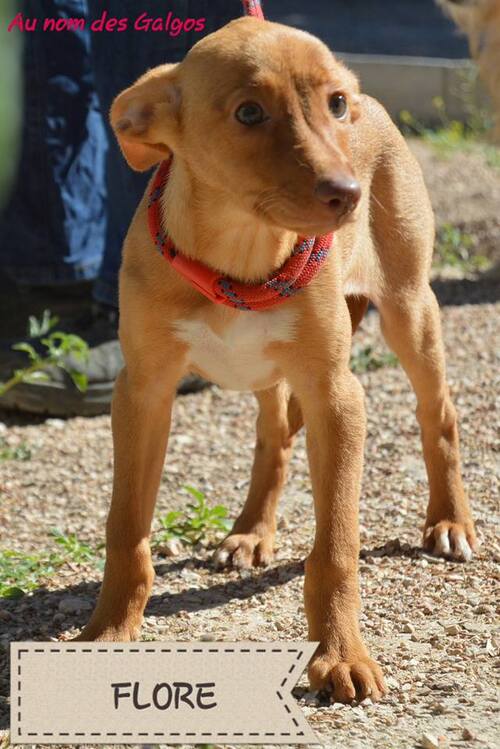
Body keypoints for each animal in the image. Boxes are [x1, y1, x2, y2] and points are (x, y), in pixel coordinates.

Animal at [76, 17, 474, 704]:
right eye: (249, 112)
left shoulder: (336, 395)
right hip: (266, 369)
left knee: (438, 413)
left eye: (334, 104)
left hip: (409, 309)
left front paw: (340, 655)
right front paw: (108, 631)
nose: (349, 194)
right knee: (274, 435)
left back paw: (449, 520)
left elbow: (336, 547)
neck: (242, 250)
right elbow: (126, 528)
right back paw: (251, 531)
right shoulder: (142, 392)